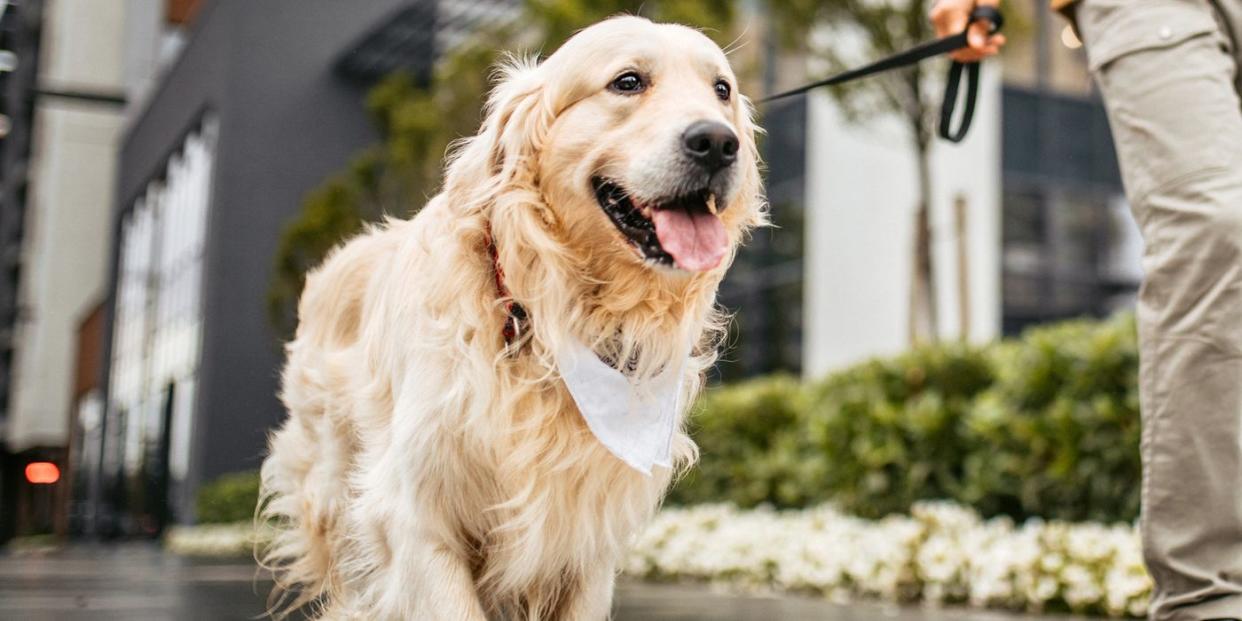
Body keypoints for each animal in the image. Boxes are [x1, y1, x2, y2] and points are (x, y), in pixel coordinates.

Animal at [260, 15, 760, 621]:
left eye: (722, 90)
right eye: (628, 81)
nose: (718, 142)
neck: (548, 318)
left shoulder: (587, 537)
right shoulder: (415, 516)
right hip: (335, 493)